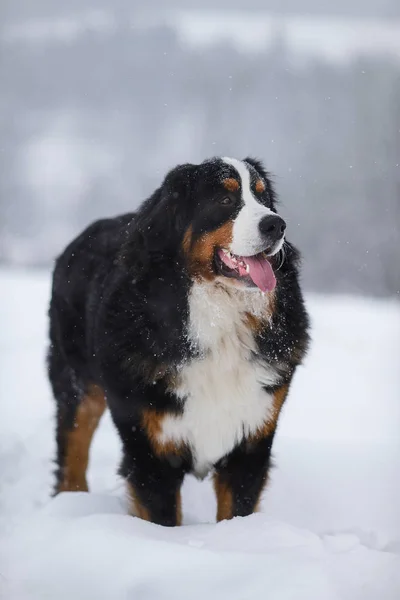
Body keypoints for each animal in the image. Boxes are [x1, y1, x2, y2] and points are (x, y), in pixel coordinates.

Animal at [47, 158, 310, 524]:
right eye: (225, 200)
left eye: (263, 198)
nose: (276, 224)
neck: (218, 321)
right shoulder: (150, 450)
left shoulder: (252, 441)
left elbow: (235, 512)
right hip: (77, 384)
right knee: (72, 452)